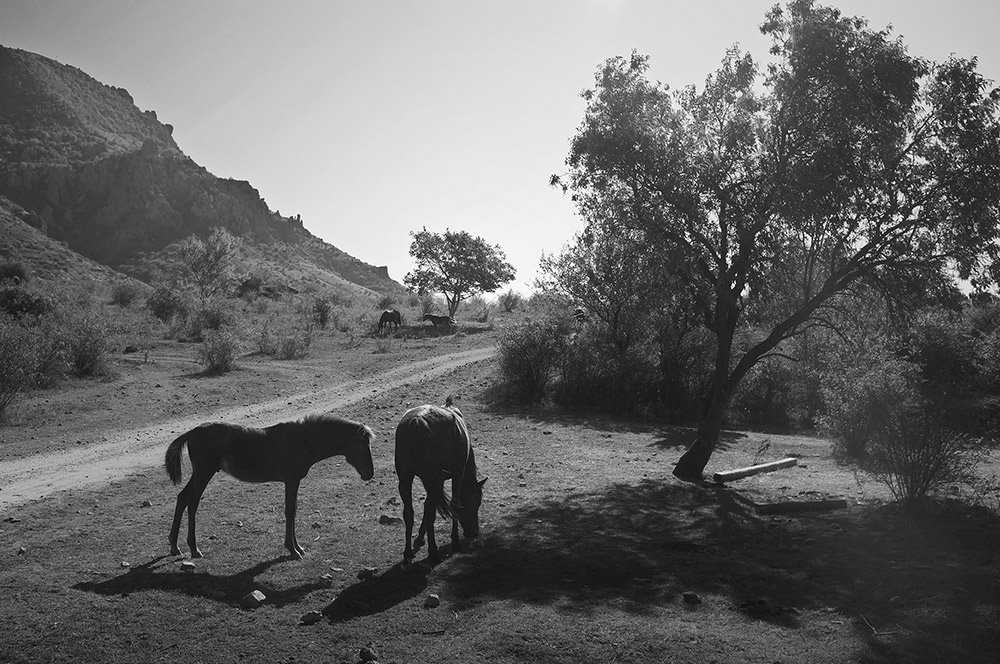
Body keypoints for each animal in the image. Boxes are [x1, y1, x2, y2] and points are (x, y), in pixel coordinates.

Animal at [164, 416, 376, 560]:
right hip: (204, 473)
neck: (303, 440)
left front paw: (298, 547)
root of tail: (192, 432)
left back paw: (175, 546)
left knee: (182, 498)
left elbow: (294, 510)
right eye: (362, 446)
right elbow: (290, 511)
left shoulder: (294, 481)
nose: (369, 473)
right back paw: (194, 548)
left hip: (200, 474)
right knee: (192, 503)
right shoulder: (291, 480)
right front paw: (293, 550)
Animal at [394, 396, 484, 564]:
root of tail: (417, 422)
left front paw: (420, 537)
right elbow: (454, 504)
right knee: (432, 510)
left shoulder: (434, 480)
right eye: (476, 503)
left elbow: (429, 507)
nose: (473, 532)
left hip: (406, 477)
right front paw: (455, 541)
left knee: (409, 513)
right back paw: (434, 552)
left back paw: (408, 554)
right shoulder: (457, 473)